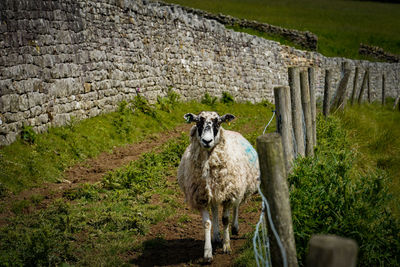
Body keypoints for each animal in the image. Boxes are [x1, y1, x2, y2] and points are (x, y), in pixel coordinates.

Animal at [177, 110, 260, 262]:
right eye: (198, 122)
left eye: (218, 123)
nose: (207, 141)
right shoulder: (201, 197)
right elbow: (207, 223)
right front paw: (208, 253)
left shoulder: (229, 194)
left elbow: (225, 219)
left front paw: (226, 246)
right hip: (214, 192)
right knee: (215, 209)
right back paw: (216, 236)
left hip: (238, 187)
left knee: (236, 205)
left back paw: (234, 228)